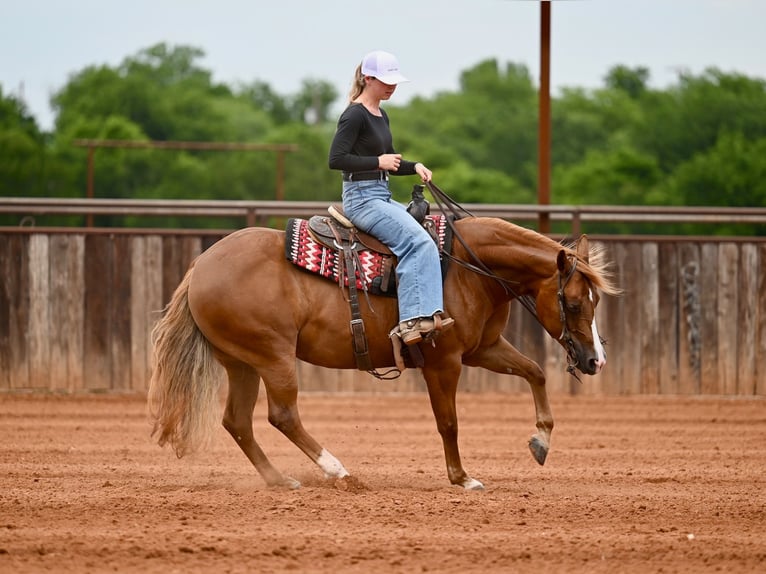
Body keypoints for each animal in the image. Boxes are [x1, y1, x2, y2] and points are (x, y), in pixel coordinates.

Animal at [148, 211, 619, 491]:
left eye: (596, 300)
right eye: (573, 303)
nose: (595, 360)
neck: (469, 270)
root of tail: (202, 265)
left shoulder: (483, 348)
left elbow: (535, 371)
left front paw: (541, 441)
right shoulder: (443, 360)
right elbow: (448, 422)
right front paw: (462, 477)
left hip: (241, 362)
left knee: (237, 421)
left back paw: (280, 480)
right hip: (272, 356)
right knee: (281, 415)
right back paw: (338, 471)